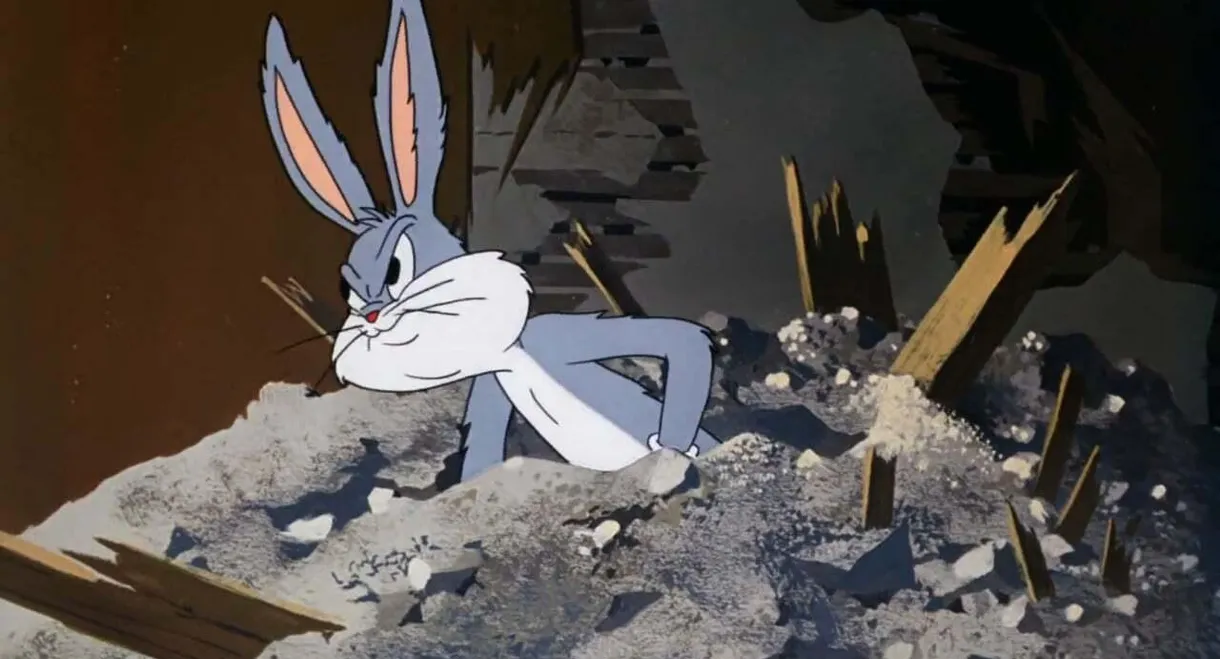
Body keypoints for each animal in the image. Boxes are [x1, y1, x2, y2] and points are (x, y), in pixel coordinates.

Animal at [259, 0, 721, 487]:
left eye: (396, 268)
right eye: (346, 285)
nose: (370, 317)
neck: (511, 356)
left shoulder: (553, 333)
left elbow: (685, 339)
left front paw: (671, 451)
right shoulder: (494, 383)